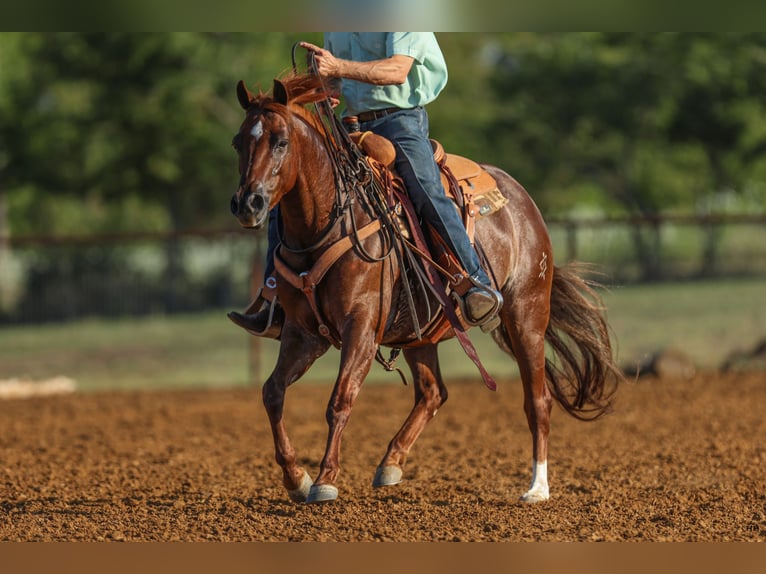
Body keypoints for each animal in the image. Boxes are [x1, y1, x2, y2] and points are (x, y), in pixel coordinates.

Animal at [230, 71, 624, 504]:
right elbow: (272, 392)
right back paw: (391, 463)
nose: (248, 203)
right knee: (434, 392)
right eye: (238, 141)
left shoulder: (361, 326)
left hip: (526, 315)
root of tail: (523, 201)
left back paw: (537, 487)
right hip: (422, 334)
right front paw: (295, 477)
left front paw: (325, 479)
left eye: (280, 141)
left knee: (537, 400)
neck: (328, 224)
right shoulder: (304, 334)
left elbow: (340, 399)